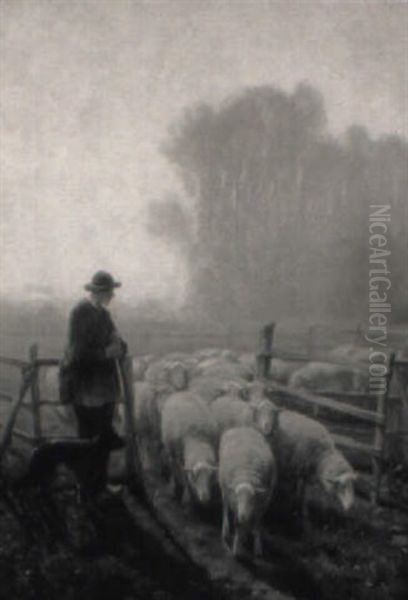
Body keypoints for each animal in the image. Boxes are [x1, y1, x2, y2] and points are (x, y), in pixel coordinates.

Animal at [218, 426, 276, 556]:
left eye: (251, 499)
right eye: (237, 497)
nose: (243, 515)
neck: (246, 475)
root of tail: (242, 427)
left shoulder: (262, 504)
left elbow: (257, 524)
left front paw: (257, 547)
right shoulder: (234, 502)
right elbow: (238, 524)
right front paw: (236, 548)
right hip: (224, 489)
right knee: (224, 507)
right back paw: (226, 530)